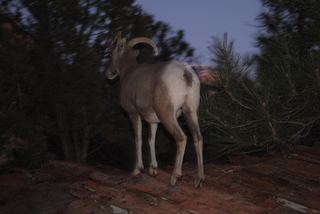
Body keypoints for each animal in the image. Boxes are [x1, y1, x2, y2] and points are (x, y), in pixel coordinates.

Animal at [106, 31, 204, 187]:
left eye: (111, 53)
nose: (108, 74)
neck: (129, 73)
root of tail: (184, 72)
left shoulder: (133, 114)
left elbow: (138, 139)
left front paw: (137, 171)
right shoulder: (152, 121)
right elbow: (151, 139)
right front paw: (153, 171)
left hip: (167, 115)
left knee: (181, 138)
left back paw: (174, 178)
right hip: (191, 112)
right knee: (198, 138)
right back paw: (199, 180)